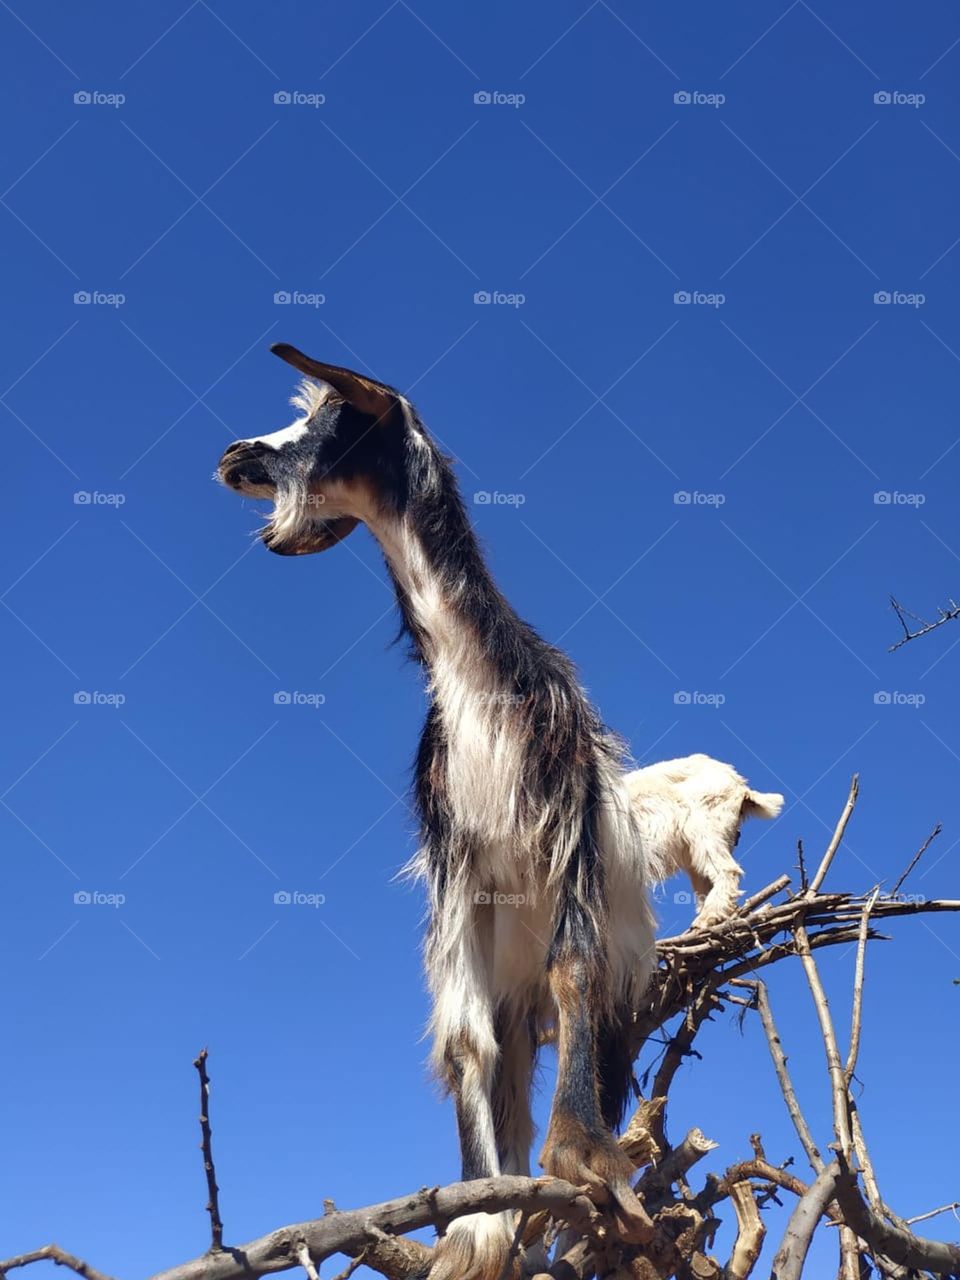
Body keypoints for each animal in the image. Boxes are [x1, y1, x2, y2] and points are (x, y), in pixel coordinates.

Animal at [213, 345, 660, 1274]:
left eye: (330, 418)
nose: (235, 455)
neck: (475, 685)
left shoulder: (569, 821)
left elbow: (576, 970)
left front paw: (585, 1158)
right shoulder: (456, 860)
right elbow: (463, 1041)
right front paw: (474, 1222)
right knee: (503, 1063)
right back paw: (516, 1217)